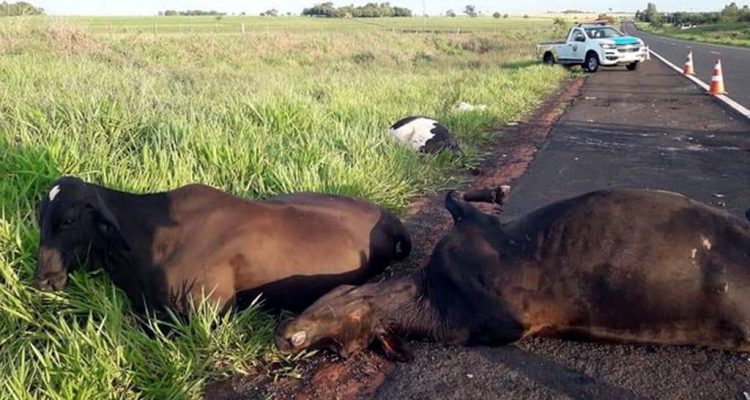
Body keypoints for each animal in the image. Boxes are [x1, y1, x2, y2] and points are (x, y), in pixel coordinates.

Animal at [276, 189, 750, 360]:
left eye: (331, 341)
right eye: (336, 352)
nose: (286, 335)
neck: (426, 293)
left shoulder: (477, 237)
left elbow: (458, 200)